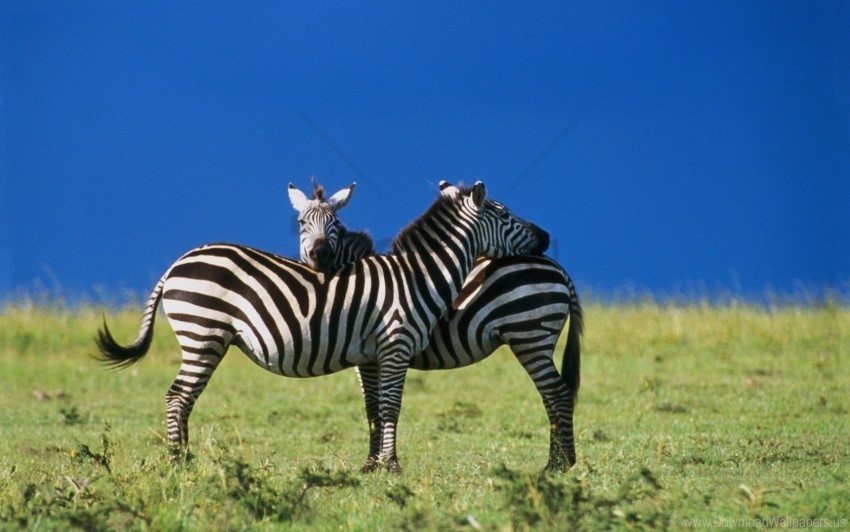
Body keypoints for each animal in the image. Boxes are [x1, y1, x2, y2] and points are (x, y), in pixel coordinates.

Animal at [96, 182, 548, 474]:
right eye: (505, 214)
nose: (546, 237)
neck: (415, 277)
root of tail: (178, 262)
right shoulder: (395, 345)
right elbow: (391, 407)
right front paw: (392, 466)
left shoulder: (372, 353)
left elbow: (375, 408)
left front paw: (375, 466)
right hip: (203, 333)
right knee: (177, 396)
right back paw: (177, 463)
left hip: (206, 338)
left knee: (184, 398)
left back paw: (186, 459)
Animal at [288, 182, 580, 470]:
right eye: (301, 223)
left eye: (335, 223)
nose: (320, 255)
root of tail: (558, 268)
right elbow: (374, 404)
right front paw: (376, 462)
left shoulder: (371, 356)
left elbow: (376, 404)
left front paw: (375, 463)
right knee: (553, 396)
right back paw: (559, 462)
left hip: (530, 335)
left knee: (557, 394)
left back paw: (558, 465)